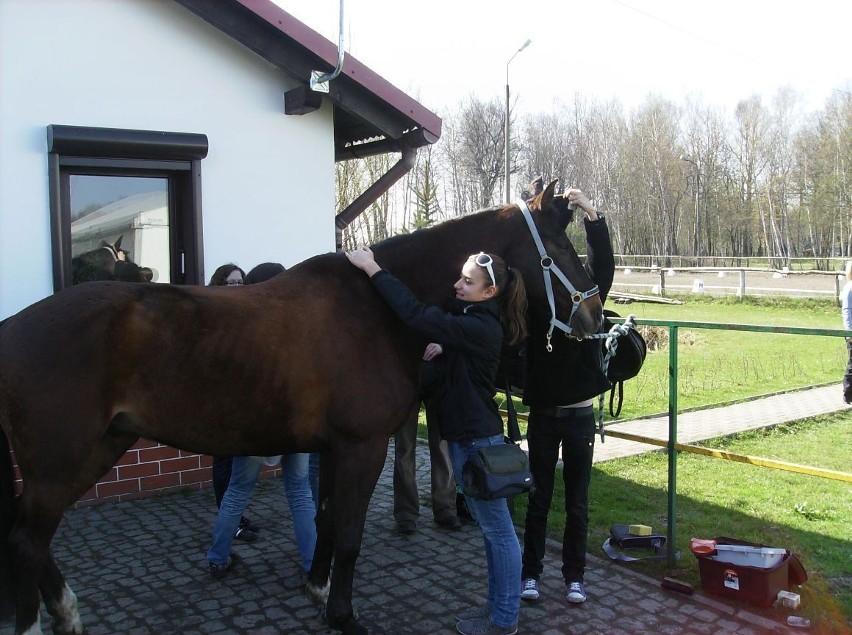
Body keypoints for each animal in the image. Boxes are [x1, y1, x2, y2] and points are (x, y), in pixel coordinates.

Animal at [0, 180, 604, 635]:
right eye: (562, 247)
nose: (594, 315)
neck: (375, 307)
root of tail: (12, 328)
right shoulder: (363, 447)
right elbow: (350, 531)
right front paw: (343, 615)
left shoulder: (335, 450)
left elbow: (328, 518)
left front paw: (316, 586)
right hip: (64, 462)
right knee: (26, 538)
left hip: (97, 448)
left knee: (28, 534)